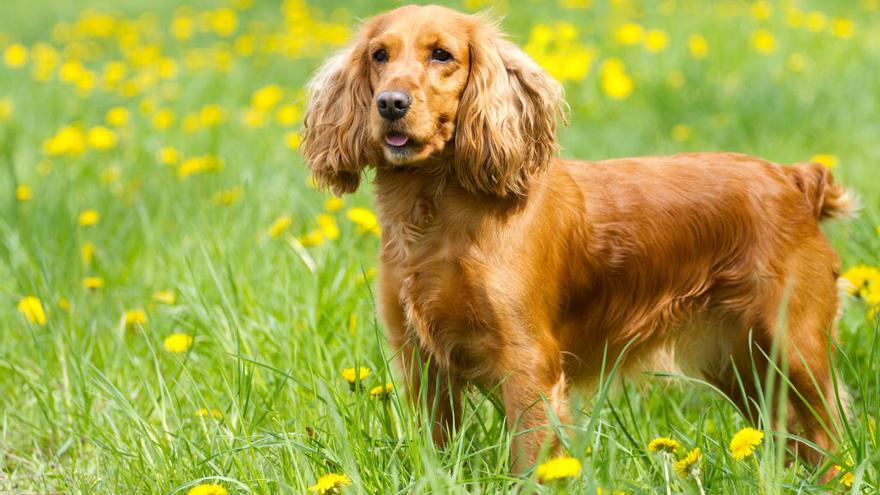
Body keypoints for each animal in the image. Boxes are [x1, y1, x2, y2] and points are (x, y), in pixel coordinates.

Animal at [300, 3, 852, 474]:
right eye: (379, 55)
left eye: (442, 55)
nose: (390, 103)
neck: (438, 214)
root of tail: (796, 179)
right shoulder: (421, 361)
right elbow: (438, 452)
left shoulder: (528, 364)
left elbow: (530, 460)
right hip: (740, 364)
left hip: (794, 346)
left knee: (827, 435)